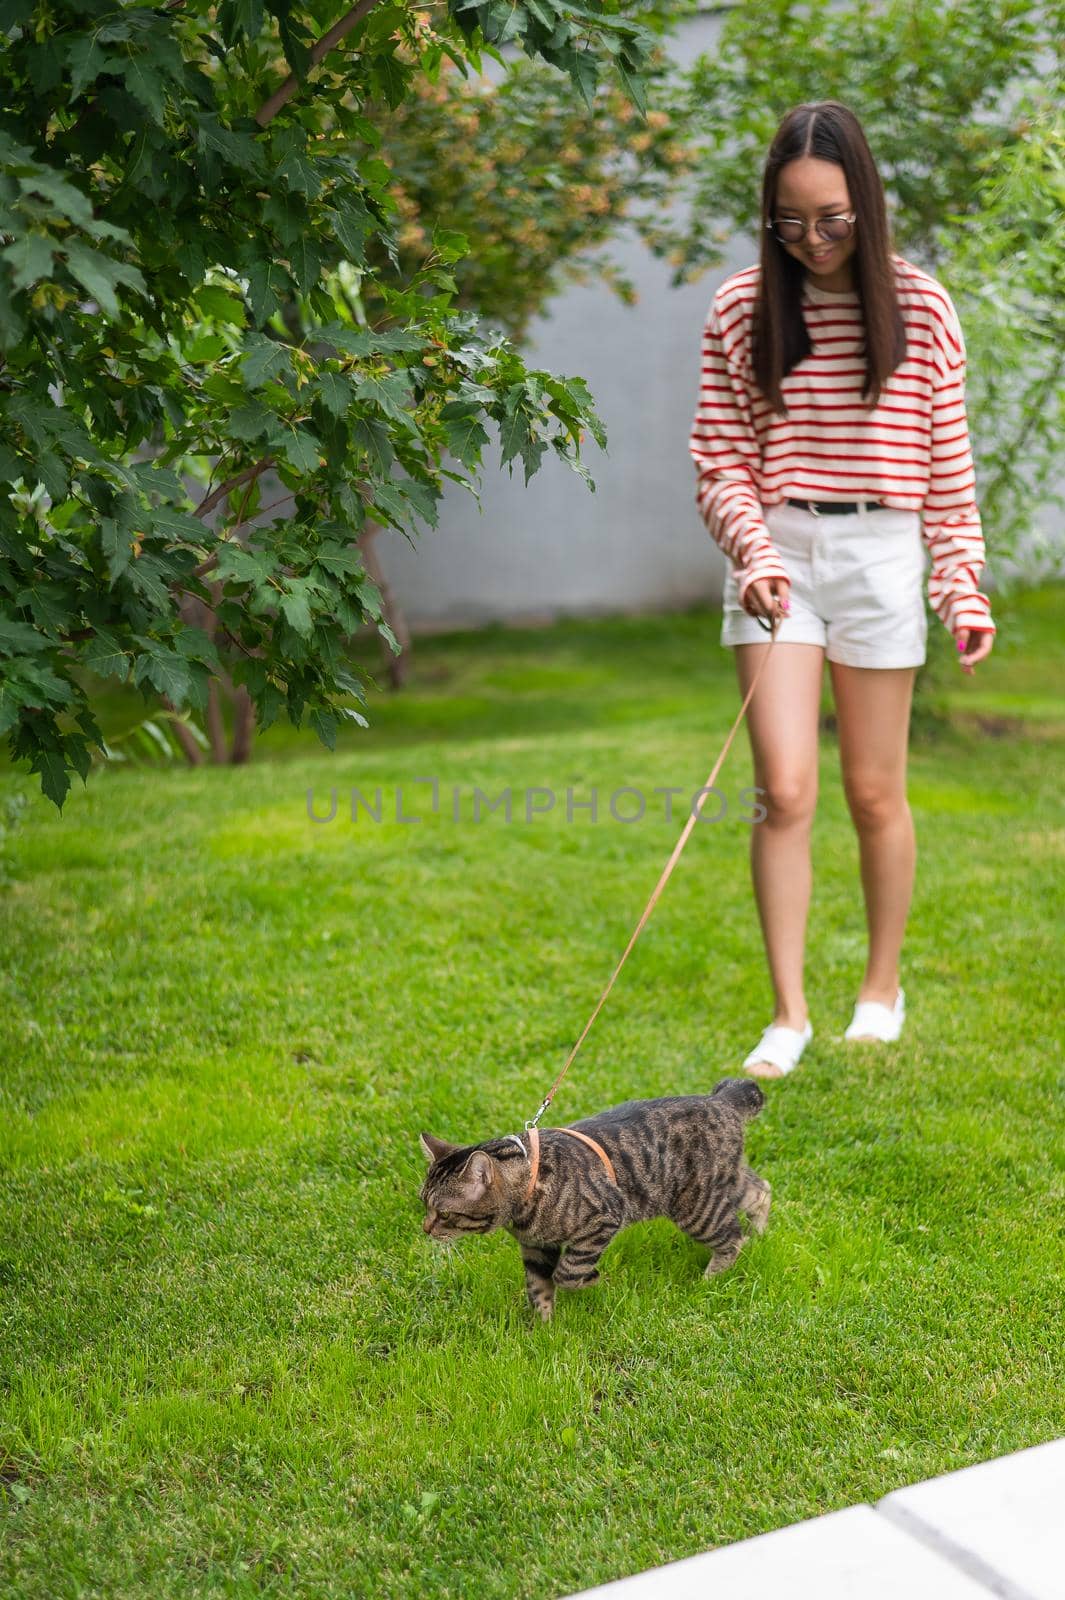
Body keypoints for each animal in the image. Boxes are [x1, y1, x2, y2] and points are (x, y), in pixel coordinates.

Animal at [415, 1075, 770, 1324]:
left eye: (443, 1213)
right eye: (423, 1204)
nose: (425, 1229)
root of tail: (721, 1100)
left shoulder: (604, 1217)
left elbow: (568, 1272)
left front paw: (591, 1279)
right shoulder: (535, 1247)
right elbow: (538, 1288)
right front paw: (544, 1328)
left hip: (695, 1205)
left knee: (732, 1237)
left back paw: (709, 1279)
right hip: (724, 1183)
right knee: (761, 1190)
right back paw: (760, 1234)